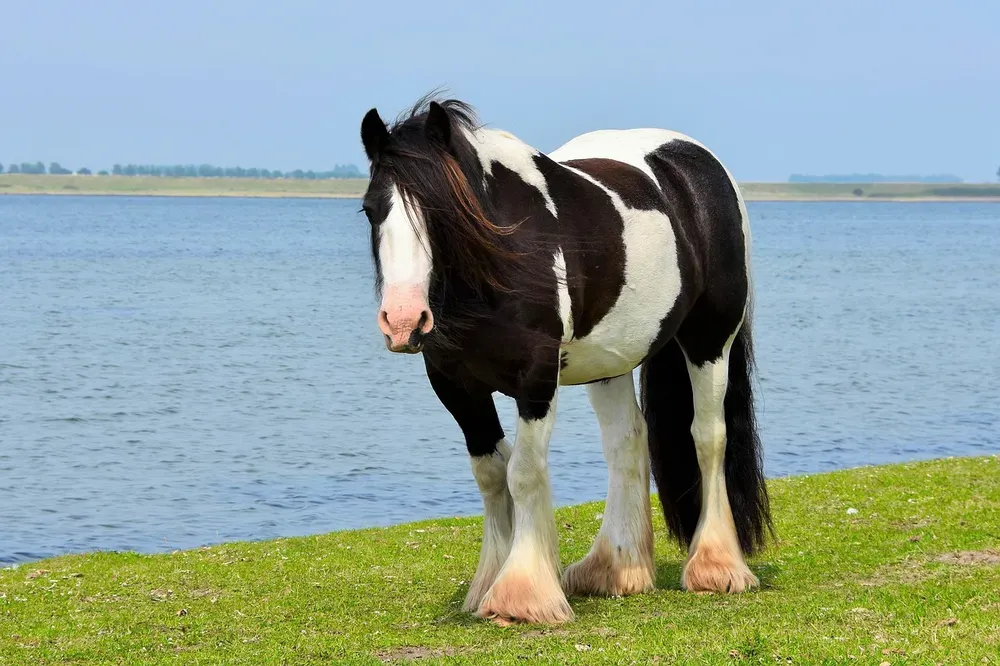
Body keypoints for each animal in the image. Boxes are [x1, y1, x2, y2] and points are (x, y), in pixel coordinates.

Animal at [360, 93, 772, 624]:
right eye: (370, 210)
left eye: (440, 210)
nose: (403, 320)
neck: (504, 255)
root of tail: (696, 165)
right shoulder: (455, 385)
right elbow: (491, 475)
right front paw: (491, 582)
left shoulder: (536, 378)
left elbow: (523, 473)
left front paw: (522, 594)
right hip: (610, 361)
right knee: (627, 442)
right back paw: (614, 569)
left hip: (709, 341)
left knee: (708, 437)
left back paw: (716, 566)